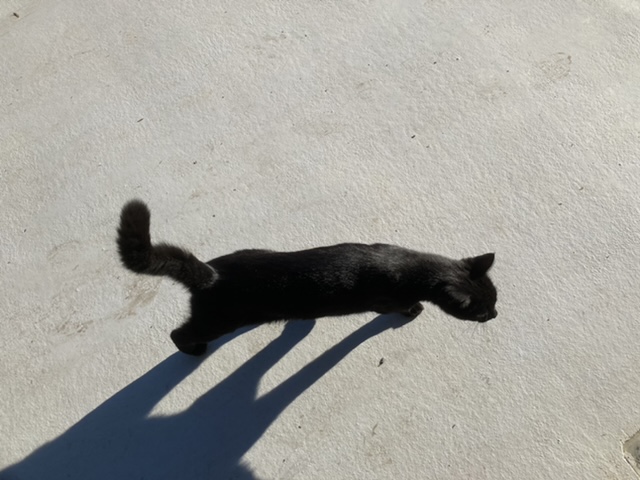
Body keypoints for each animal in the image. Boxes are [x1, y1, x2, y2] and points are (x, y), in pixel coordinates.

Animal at [117, 199, 498, 355]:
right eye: (481, 311)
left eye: (496, 300)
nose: (495, 315)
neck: (410, 265)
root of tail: (211, 275)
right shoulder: (388, 301)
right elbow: (401, 308)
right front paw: (415, 310)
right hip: (218, 320)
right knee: (179, 333)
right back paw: (193, 350)